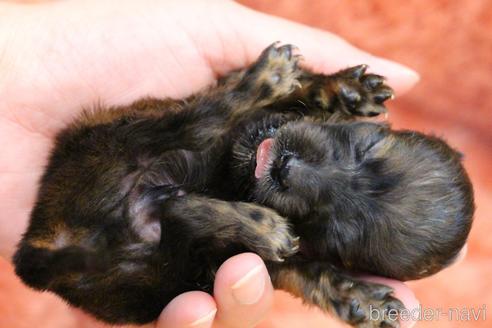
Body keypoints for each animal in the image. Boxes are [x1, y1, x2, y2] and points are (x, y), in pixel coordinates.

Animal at [12, 43, 472, 328]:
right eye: (364, 146)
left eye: (336, 232)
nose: (286, 167)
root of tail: (40, 247)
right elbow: (285, 92)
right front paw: (345, 89)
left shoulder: (276, 265)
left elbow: (312, 274)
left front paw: (364, 300)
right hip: (114, 134)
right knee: (196, 119)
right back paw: (268, 76)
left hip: (166, 268)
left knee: (179, 205)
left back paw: (259, 225)